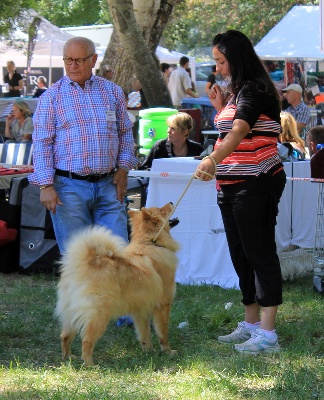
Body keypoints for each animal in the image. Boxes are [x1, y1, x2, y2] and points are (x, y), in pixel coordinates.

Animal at [55, 203, 180, 366]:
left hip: (71, 312)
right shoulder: (163, 306)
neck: (150, 243)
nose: (171, 202)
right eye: (161, 210)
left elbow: (144, 334)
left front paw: (148, 352)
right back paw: (89, 364)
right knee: (87, 341)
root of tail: (82, 264)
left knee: (65, 336)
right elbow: (162, 333)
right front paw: (168, 352)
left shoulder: (140, 310)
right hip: (99, 314)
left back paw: (68, 359)